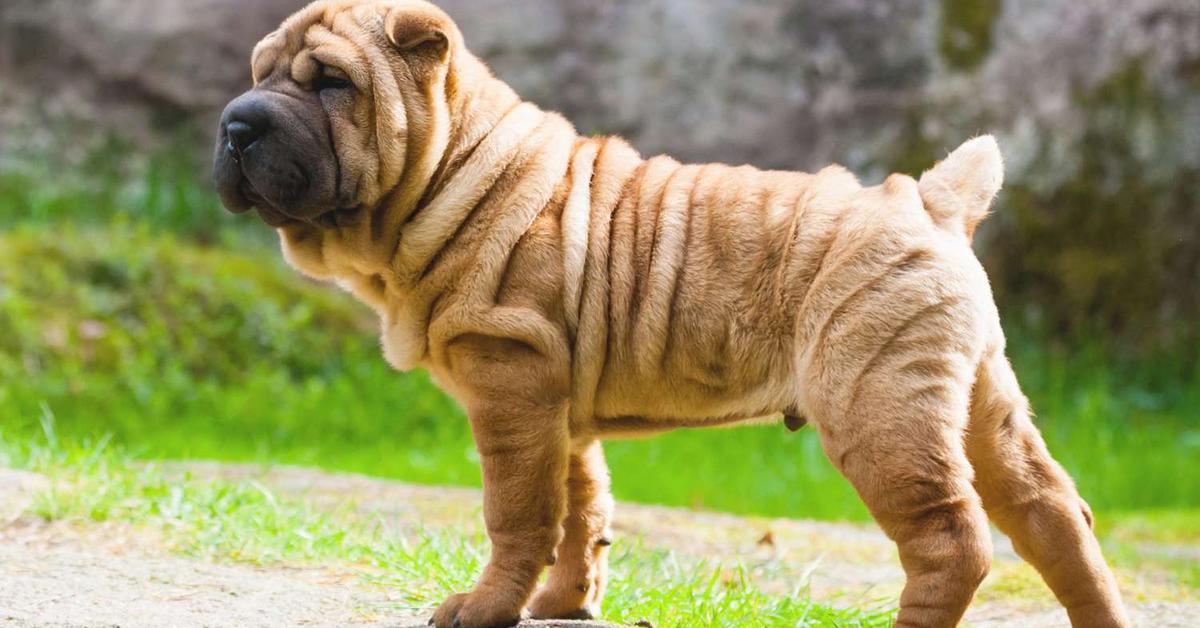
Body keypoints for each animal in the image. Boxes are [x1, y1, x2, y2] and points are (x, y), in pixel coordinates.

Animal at [211, 2, 1128, 624]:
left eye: (333, 84)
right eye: (257, 74)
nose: (236, 125)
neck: (454, 171)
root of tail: (930, 200)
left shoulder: (510, 382)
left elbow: (517, 512)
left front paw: (486, 607)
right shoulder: (557, 404)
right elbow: (581, 508)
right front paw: (564, 601)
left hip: (878, 401)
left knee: (951, 539)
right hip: (977, 396)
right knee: (1054, 515)